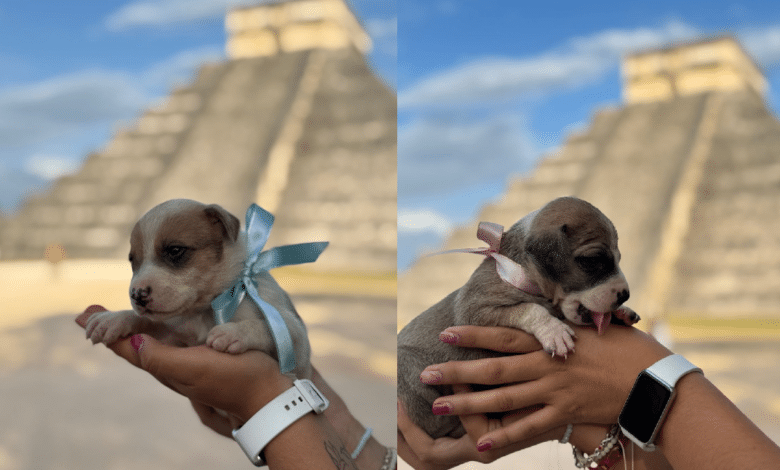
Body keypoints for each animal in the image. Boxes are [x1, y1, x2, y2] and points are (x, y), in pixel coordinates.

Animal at [87, 197, 312, 378]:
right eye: (133, 260)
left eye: (175, 250)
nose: (137, 294)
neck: (207, 309)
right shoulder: (174, 335)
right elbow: (147, 321)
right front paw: (113, 319)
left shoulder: (297, 345)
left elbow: (267, 326)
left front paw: (233, 332)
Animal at [400, 196, 636, 438]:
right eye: (592, 261)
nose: (625, 295)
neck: (522, 271)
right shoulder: (475, 311)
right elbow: (531, 308)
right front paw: (554, 331)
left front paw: (621, 313)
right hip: (411, 368)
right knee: (436, 424)